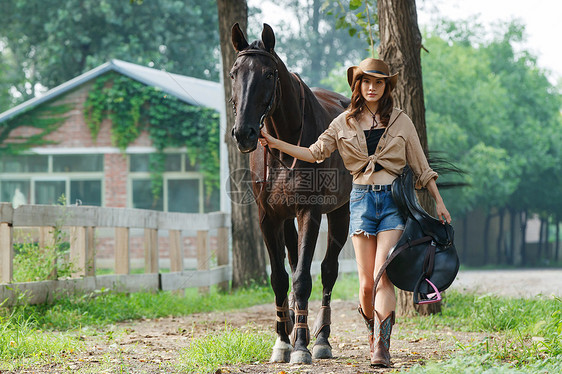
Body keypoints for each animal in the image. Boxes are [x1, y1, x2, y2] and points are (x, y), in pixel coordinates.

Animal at [228, 22, 350, 362]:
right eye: (234, 73)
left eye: (269, 74)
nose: (244, 133)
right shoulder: (269, 217)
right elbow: (280, 279)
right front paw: (283, 342)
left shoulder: (310, 211)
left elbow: (303, 278)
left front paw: (301, 347)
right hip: (286, 220)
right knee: (295, 262)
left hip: (340, 212)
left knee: (328, 270)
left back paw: (320, 339)